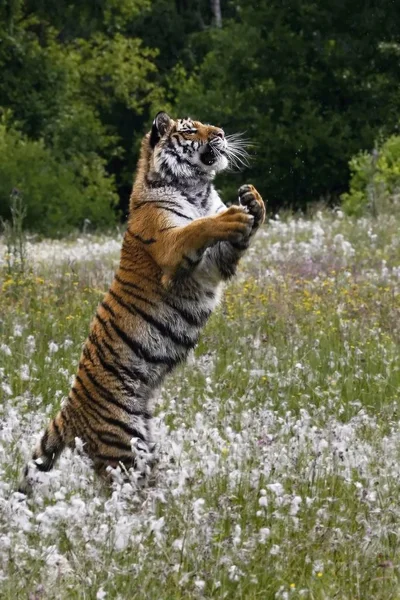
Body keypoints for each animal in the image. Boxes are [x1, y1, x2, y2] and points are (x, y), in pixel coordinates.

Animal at [21, 111, 266, 492]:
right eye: (191, 130)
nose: (222, 133)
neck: (196, 190)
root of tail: (68, 410)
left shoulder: (215, 264)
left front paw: (252, 199)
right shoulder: (172, 248)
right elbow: (198, 227)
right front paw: (229, 216)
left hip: (143, 447)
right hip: (122, 450)